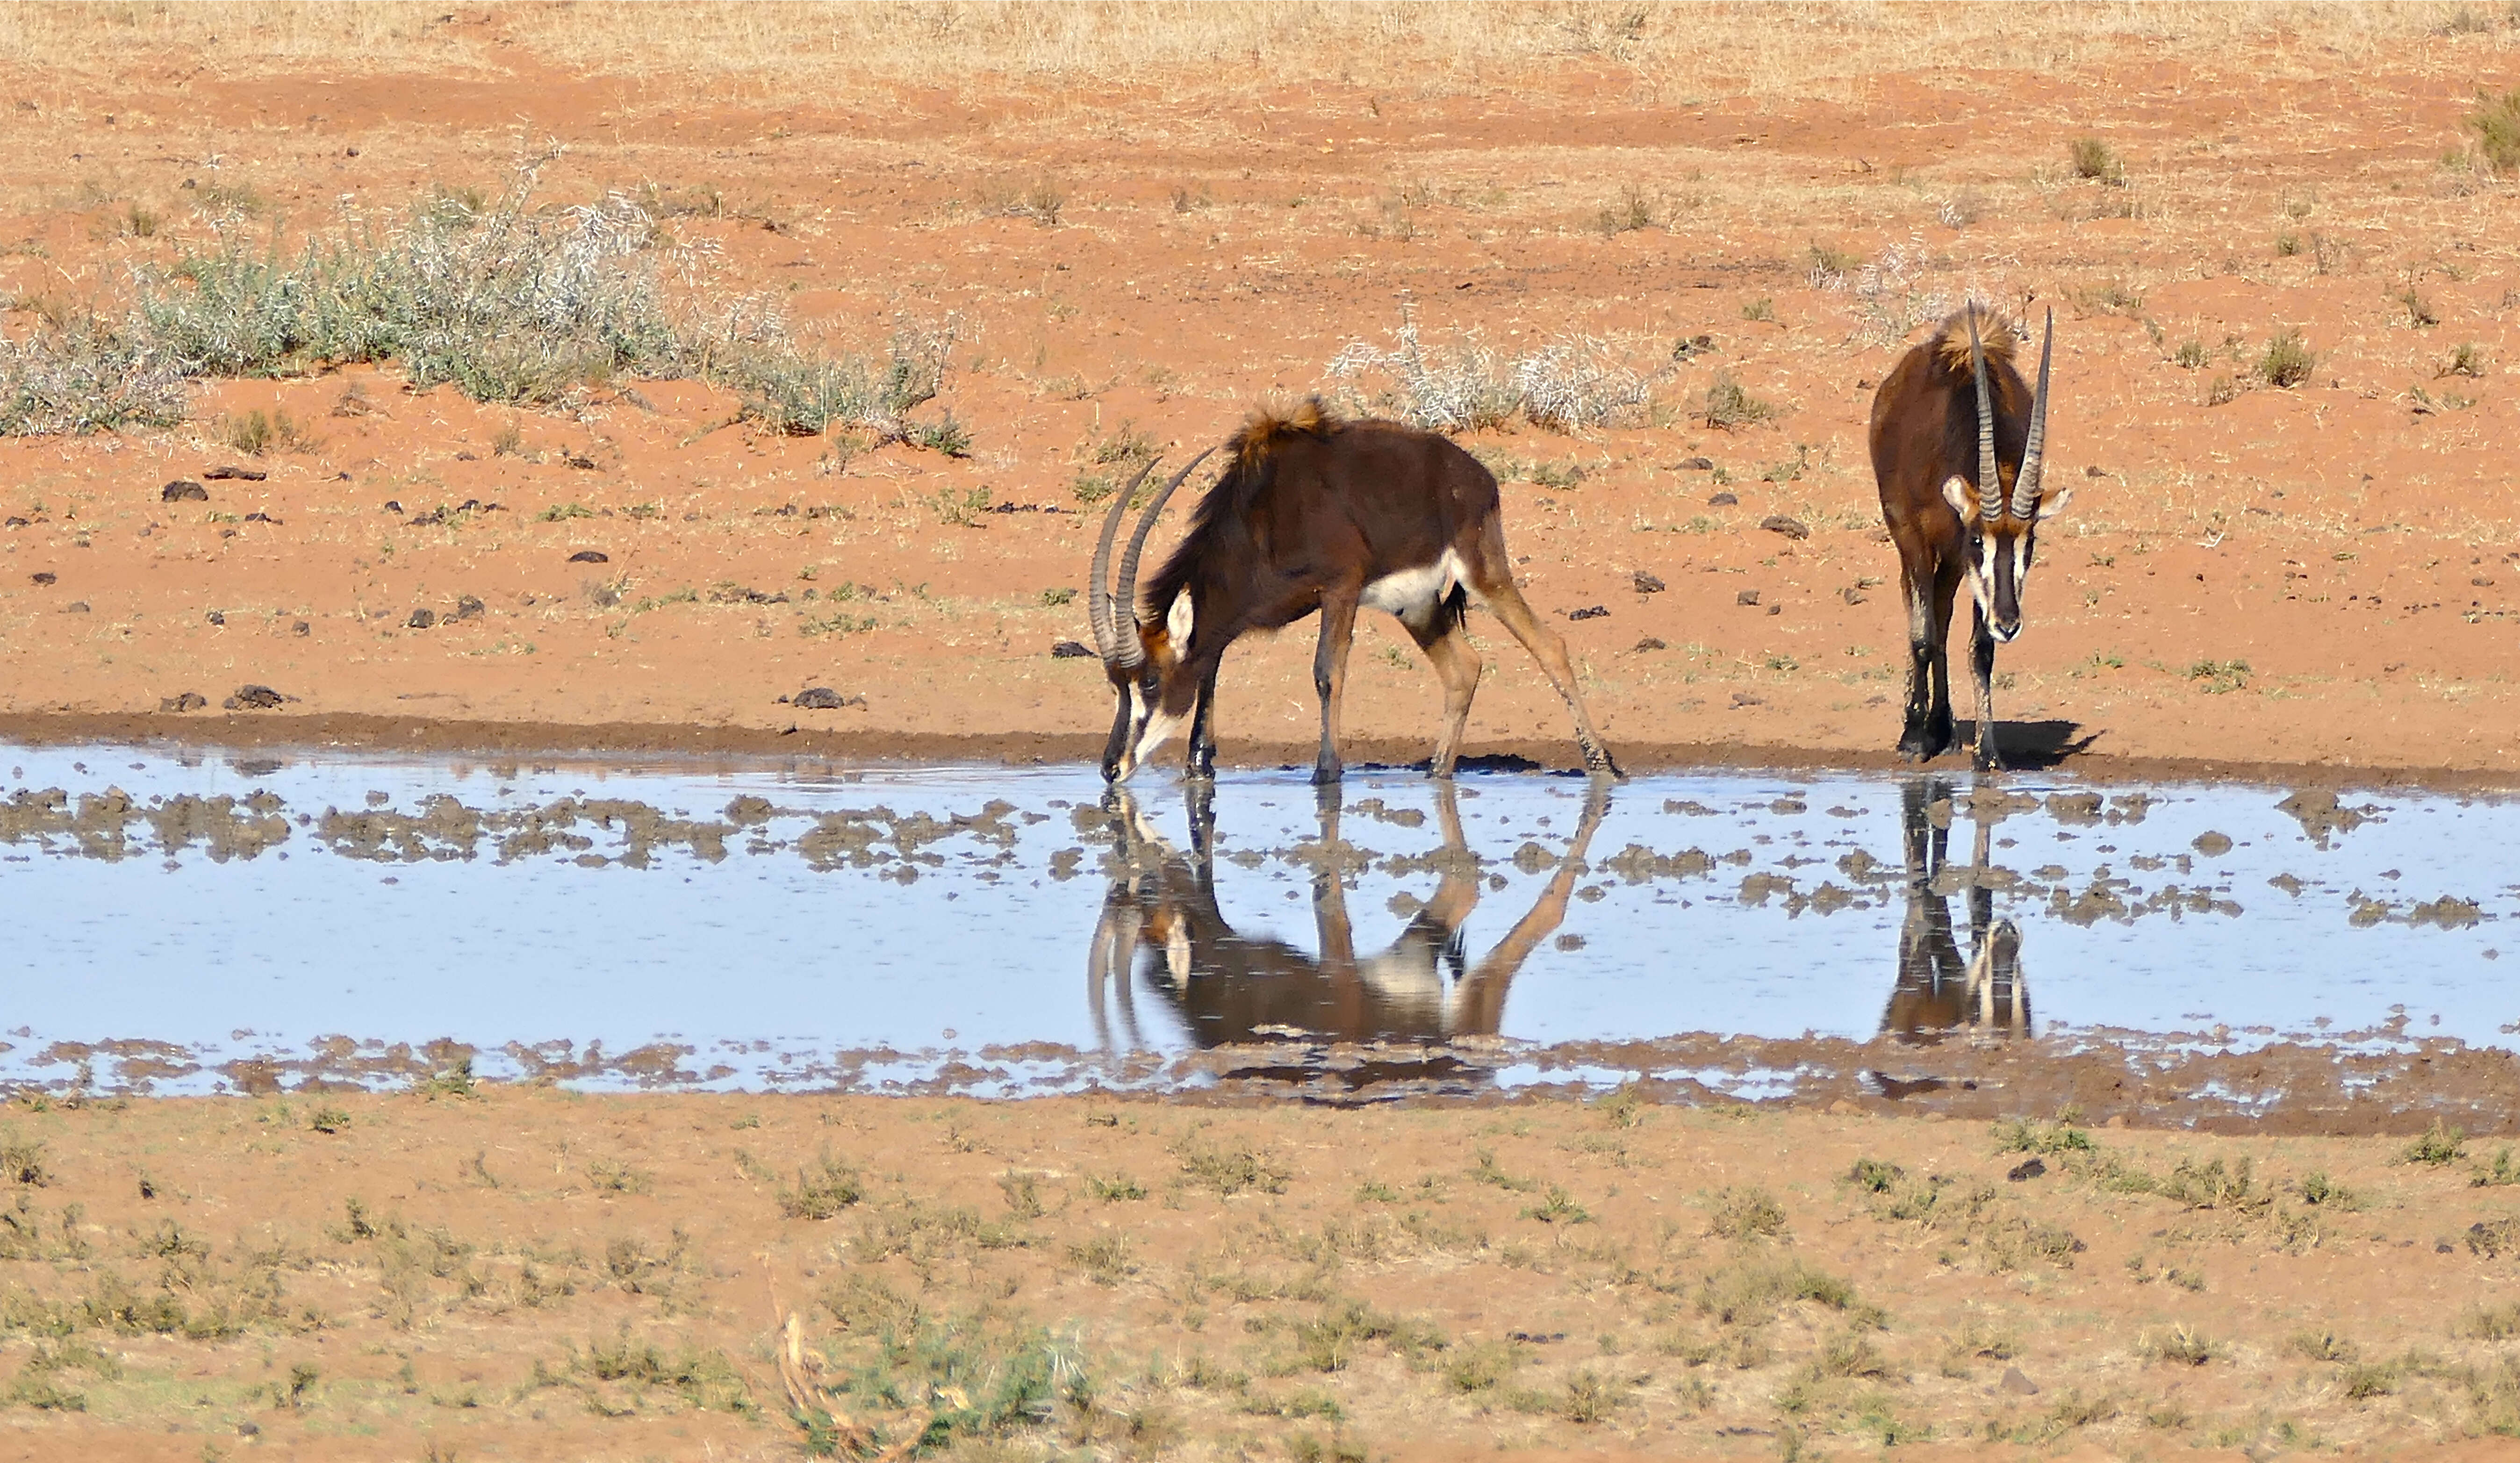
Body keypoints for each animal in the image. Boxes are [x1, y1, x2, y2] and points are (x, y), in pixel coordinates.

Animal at [1084, 395, 1613, 785]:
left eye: (1150, 682)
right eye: (1115, 685)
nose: (1110, 768)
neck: (1264, 515)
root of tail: (1476, 475)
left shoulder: (1340, 586)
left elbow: (1326, 672)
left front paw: (1326, 773)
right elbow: (1209, 672)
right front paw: (1199, 766)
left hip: (1482, 572)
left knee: (1550, 646)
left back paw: (1602, 765)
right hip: (1415, 606)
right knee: (1464, 668)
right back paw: (1437, 772)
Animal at [1874, 302, 2066, 770]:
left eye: (2029, 543)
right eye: (1979, 540)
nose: (2009, 624)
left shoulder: (1963, 562)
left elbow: (1979, 649)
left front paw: (1987, 754)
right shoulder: (1919, 539)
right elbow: (1922, 636)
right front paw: (1914, 739)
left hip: (1949, 561)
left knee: (1942, 618)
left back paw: (1942, 728)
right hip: (1913, 543)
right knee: (1921, 617)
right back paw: (1919, 727)